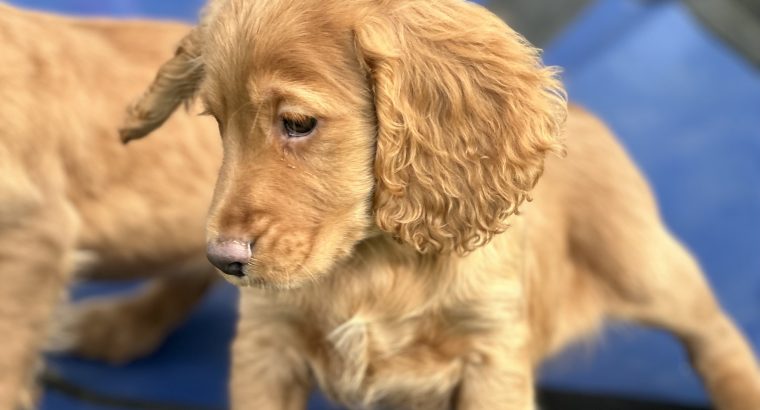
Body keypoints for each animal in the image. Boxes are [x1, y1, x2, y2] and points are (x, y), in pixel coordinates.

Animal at [121, 0, 760, 410]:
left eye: (297, 123)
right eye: (218, 124)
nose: (221, 260)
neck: (373, 262)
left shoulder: (490, 359)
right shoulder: (265, 349)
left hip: (642, 265)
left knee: (712, 330)